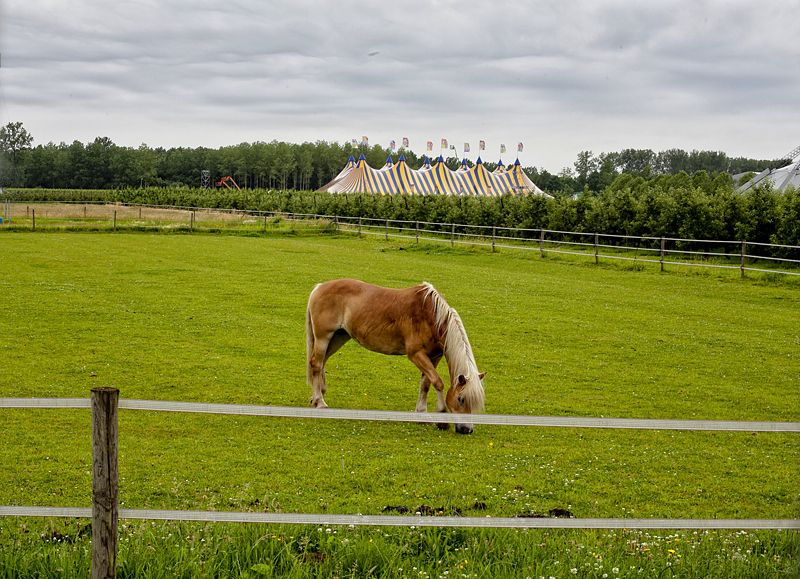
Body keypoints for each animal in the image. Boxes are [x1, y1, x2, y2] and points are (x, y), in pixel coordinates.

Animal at [305, 279, 485, 434]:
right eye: (461, 399)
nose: (467, 430)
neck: (432, 316)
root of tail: (319, 287)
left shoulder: (434, 356)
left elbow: (426, 384)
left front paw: (422, 413)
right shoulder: (416, 354)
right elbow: (437, 382)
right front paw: (442, 419)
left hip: (338, 337)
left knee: (322, 362)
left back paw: (318, 395)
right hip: (323, 337)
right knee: (316, 364)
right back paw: (320, 402)